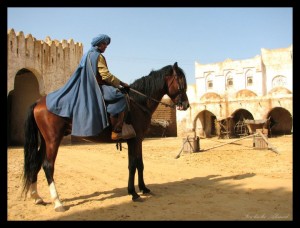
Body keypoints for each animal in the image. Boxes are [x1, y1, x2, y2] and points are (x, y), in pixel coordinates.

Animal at [22, 62, 189, 212]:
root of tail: (39, 102)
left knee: (36, 163)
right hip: (53, 140)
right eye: (181, 83)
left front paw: (143, 188)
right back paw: (58, 202)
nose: (186, 105)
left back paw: (36, 197)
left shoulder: (137, 140)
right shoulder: (134, 140)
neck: (138, 103)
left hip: (45, 141)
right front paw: (133, 193)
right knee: (48, 166)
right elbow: (133, 165)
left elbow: (139, 164)